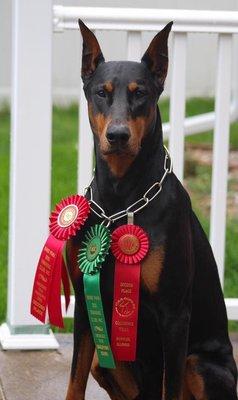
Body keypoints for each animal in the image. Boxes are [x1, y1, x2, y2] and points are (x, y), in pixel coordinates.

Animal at [65, 19, 238, 400]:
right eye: (101, 92)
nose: (117, 136)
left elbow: (169, 388)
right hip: (106, 361)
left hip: (200, 363)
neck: (121, 199)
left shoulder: (174, 316)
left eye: (140, 92)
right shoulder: (85, 306)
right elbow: (74, 382)